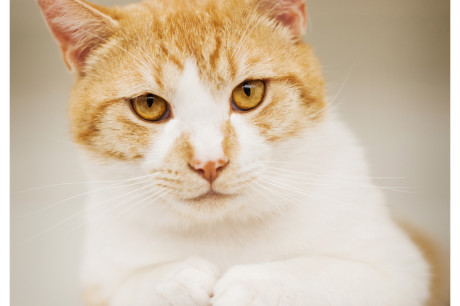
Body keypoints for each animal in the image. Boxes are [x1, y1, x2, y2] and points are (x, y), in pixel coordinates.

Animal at [37, 0, 434, 304]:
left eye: (248, 92)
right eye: (149, 105)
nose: (209, 162)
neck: (222, 231)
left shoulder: (402, 269)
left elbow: (326, 273)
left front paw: (250, 284)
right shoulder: (99, 283)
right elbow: (128, 287)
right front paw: (176, 279)